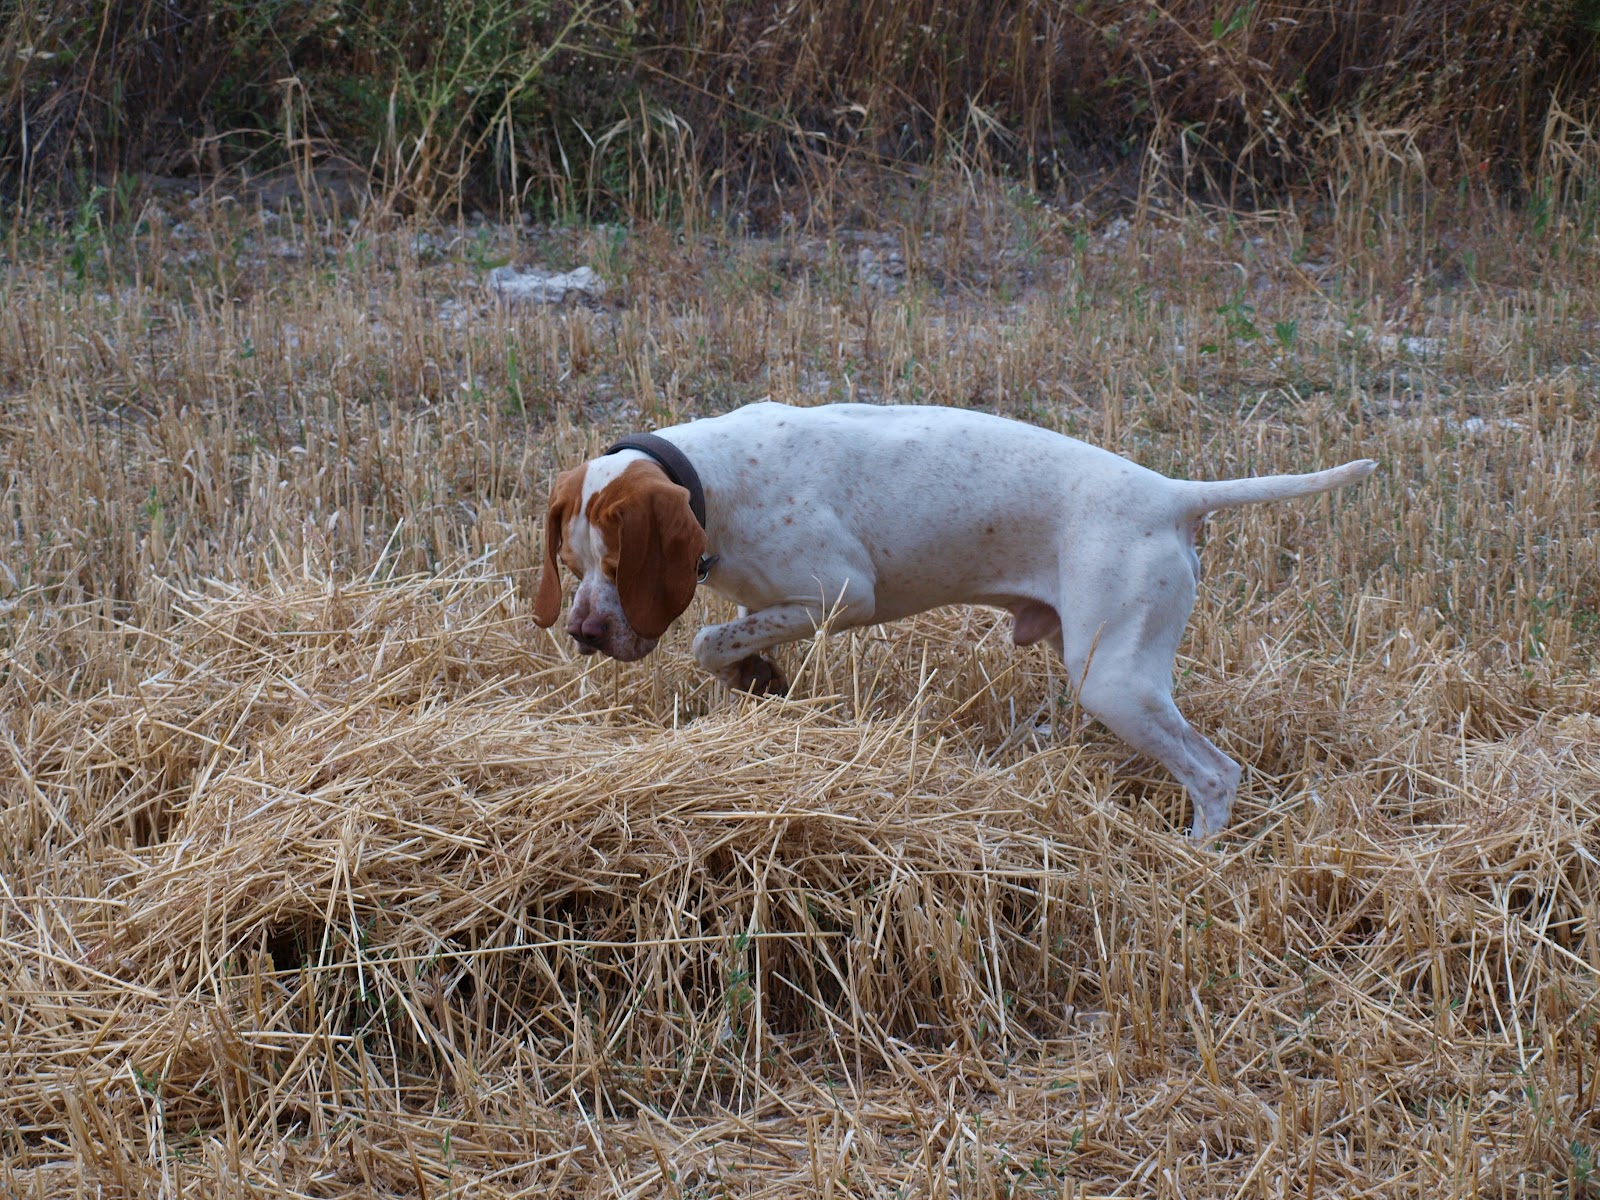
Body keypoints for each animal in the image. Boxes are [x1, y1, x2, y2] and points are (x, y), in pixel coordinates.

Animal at [534, 400, 1376, 838]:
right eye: (572, 567)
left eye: (617, 566)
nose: (582, 633)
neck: (720, 480)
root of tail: (1171, 495)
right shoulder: (767, 602)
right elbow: (736, 642)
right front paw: (758, 678)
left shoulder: (844, 593)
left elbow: (708, 639)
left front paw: (746, 670)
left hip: (1114, 682)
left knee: (1214, 773)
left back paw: (1198, 857)